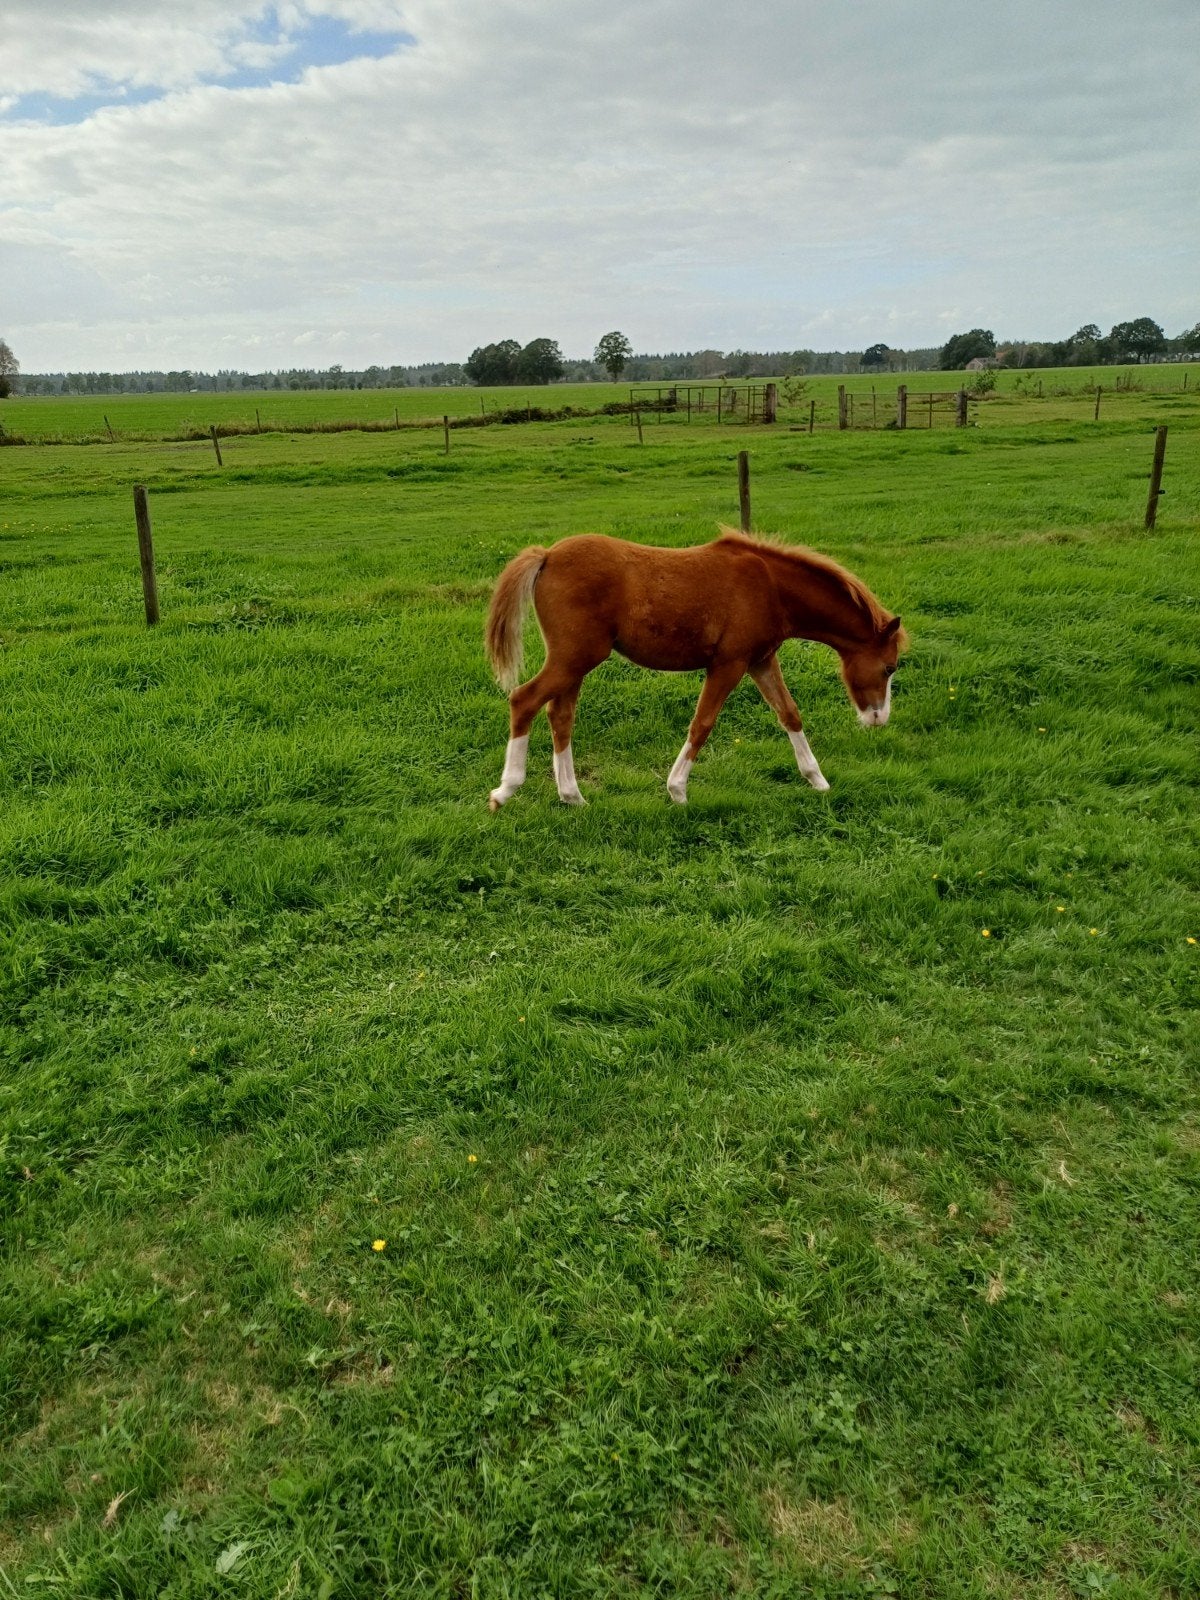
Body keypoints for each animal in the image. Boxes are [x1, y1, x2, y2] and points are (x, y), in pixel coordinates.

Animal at [484, 527, 906, 809]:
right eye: (889, 668)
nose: (878, 719)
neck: (771, 586)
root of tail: (547, 555)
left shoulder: (761, 661)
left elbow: (789, 713)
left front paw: (818, 780)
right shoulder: (729, 664)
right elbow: (702, 723)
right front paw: (677, 790)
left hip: (575, 662)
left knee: (561, 715)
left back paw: (572, 796)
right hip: (575, 657)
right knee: (524, 700)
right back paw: (505, 791)